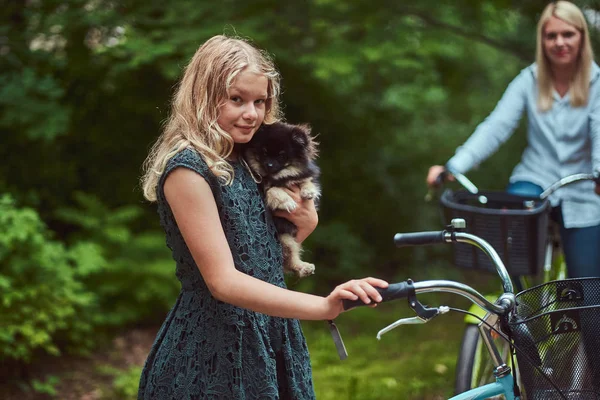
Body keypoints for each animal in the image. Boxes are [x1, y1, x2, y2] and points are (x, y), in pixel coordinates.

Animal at [243, 122, 322, 278]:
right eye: (264, 153)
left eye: (282, 155)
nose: (269, 165)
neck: (279, 177)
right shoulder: (264, 189)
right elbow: (273, 190)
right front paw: (287, 202)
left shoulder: (301, 175)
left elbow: (306, 180)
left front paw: (308, 191)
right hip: (285, 239)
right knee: (289, 262)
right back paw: (303, 268)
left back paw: (305, 267)